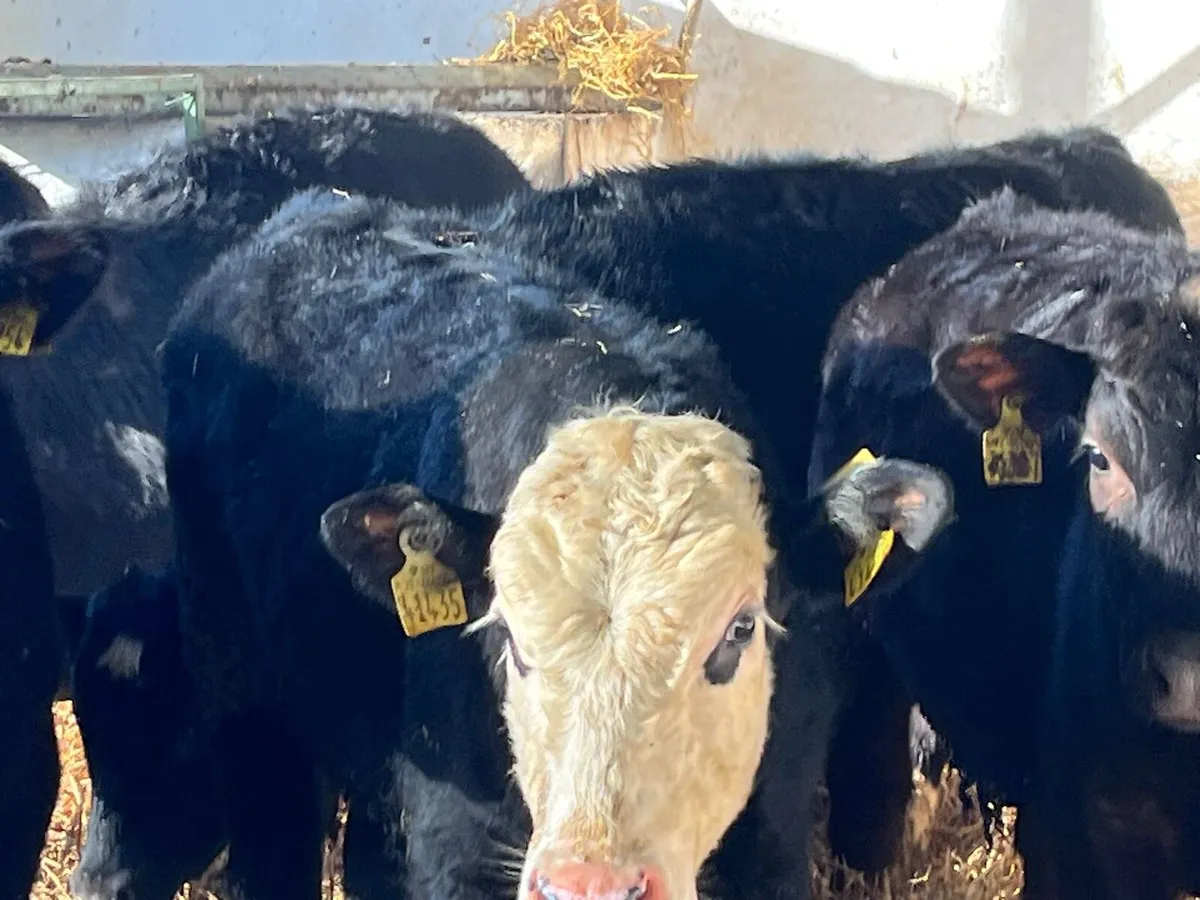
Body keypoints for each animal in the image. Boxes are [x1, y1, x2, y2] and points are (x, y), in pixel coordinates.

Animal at [162, 182, 956, 900]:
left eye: (739, 630)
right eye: (510, 638)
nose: (590, 884)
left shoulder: (773, 843)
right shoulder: (458, 848)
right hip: (240, 686)